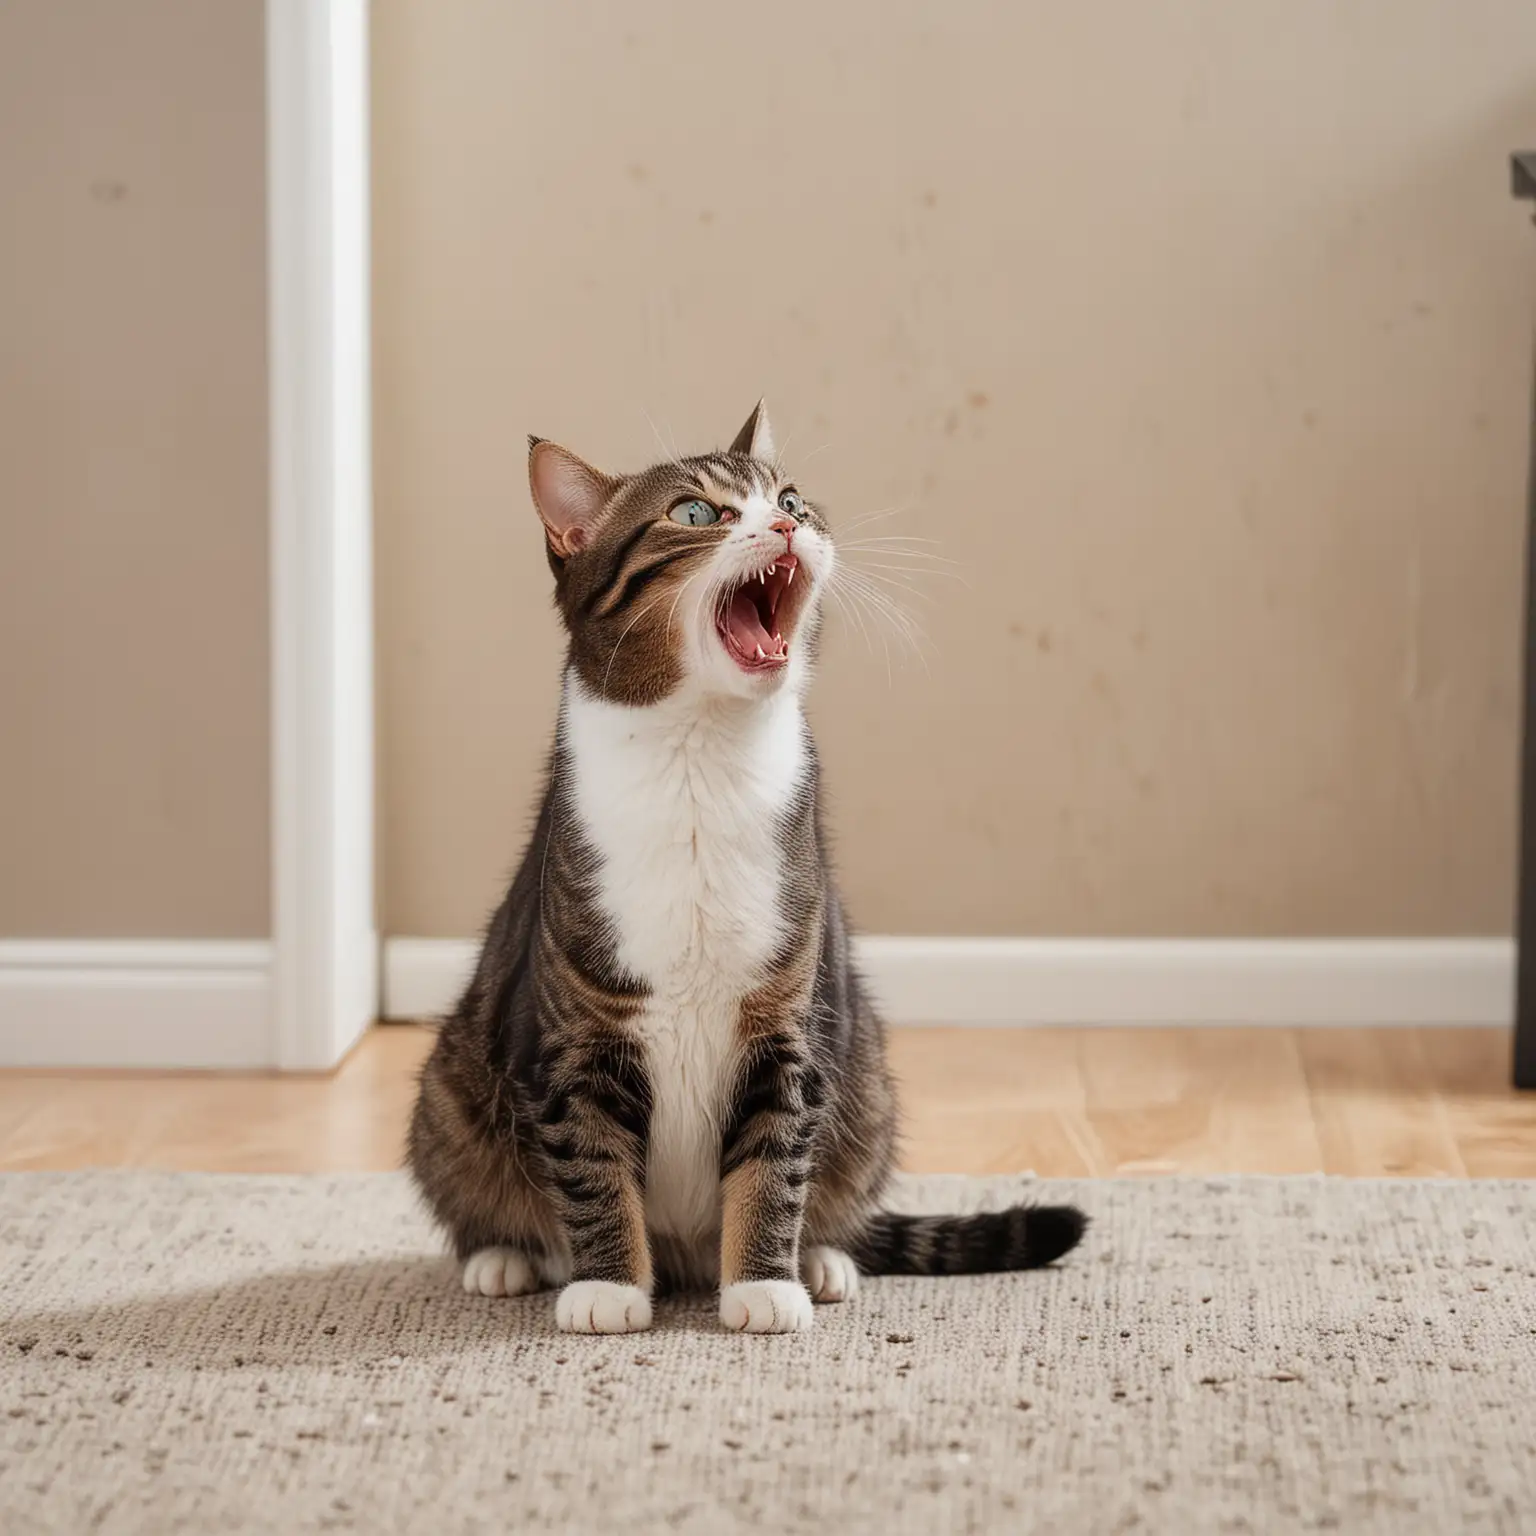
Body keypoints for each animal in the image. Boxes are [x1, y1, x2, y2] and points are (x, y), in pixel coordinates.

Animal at [402, 408, 1087, 1333]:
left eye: (789, 498)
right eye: (696, 513)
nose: (787, 526)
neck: (701, 755)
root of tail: (688, 1254)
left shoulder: (787, 1012)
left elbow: (776, 1155)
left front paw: (765, 1284)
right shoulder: (581, 1025)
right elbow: (590, 1163)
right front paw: (609, 1288)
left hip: (868, 1078)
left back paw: (823, 1257)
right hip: (450, 1088)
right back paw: (507, 1257)